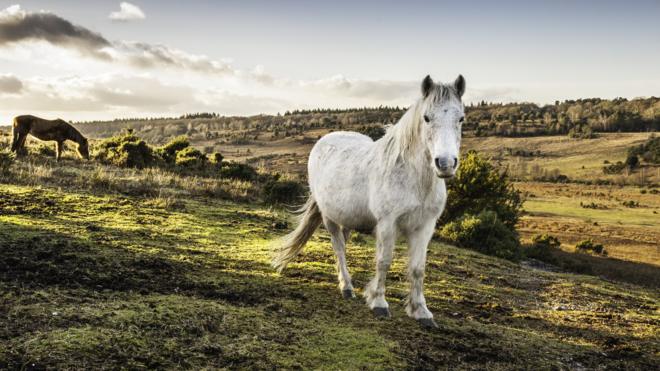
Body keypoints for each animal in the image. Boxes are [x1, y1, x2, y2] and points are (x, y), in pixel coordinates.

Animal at [276, 75, 466, 328]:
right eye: (427, 118)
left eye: (461, 118)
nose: (445, 163)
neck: (414, 177)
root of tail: (325, 139)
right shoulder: (387, 224)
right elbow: (384, 261)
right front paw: (378, 302)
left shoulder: (425, 227)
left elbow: (418, 268)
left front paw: (421, 312)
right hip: (329, 218)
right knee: (338, 247)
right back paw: (346, 287)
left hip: (347, 217)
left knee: (343, 244)